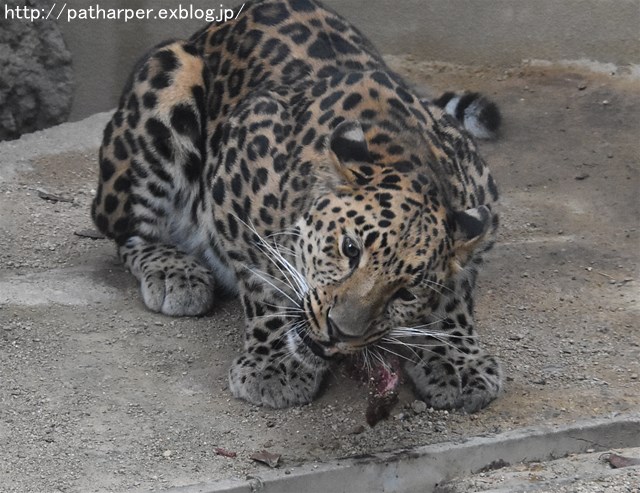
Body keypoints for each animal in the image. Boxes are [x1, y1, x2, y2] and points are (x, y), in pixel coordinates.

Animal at [92, 0, 504, 412]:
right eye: (349, 249)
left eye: (406, 293)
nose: (340, 331)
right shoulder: (235, 175)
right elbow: (263, 279)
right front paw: (275, 365)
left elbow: (456, 297)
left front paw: (457, 361)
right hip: (167, 80)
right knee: (124, 229)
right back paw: (175, 272)